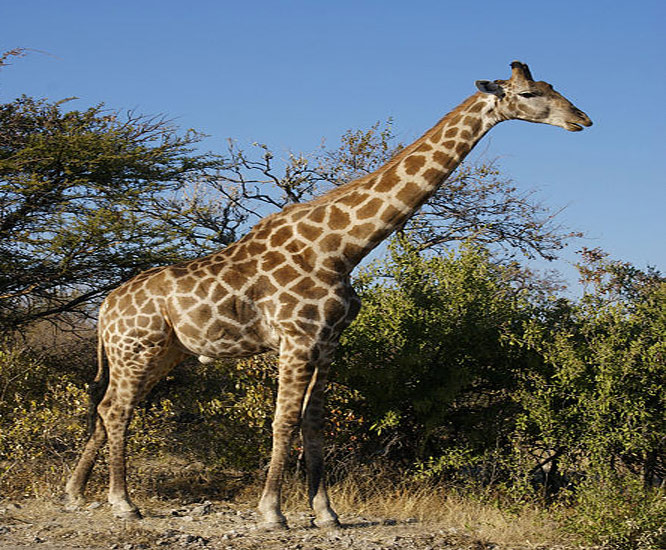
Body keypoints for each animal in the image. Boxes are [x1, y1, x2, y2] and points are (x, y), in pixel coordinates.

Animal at [65, 61, 591, 528]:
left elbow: (313, 425)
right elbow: (283, 421)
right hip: (136, 348)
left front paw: (327, 514)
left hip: (163, 352)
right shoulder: (296, 340)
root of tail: (105, 307)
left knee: (110, 407)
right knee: (116, 408)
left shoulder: (329, 343)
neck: (341, 249)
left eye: (552, 86)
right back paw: (122, 503)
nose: (583, 119)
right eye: (528, 94)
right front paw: (273, 513)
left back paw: (77, 493)